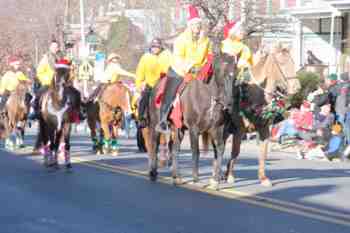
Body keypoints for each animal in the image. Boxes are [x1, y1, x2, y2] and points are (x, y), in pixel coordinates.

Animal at [224, 44, 300, 187]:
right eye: (281, 62)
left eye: (293, 62)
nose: (297, 88)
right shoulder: (239, 130)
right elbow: (235, 151)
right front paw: (230, 176)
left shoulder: (264, 130)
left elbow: (263, 153)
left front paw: (263, 178)